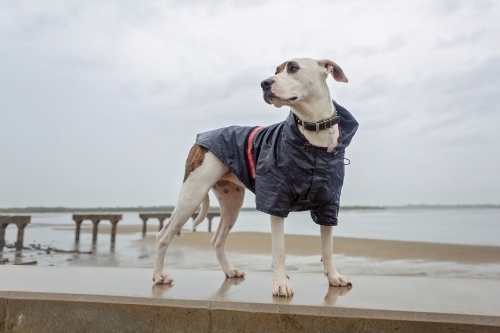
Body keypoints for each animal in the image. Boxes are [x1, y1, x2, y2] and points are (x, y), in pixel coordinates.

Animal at [150, 57, 358, 296]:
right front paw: (281, 284)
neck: (314, 131)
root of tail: (200, 139)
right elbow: (279, 251)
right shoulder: (275, 200)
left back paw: (229, 270)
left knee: (217, 239)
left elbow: (328, 248)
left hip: (232, 202)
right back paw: (159, 275)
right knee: (163, 236)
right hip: (192, 195)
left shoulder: (328, 204)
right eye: (276, 70)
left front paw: (334, 277)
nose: (264, 83)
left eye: (293, 68)